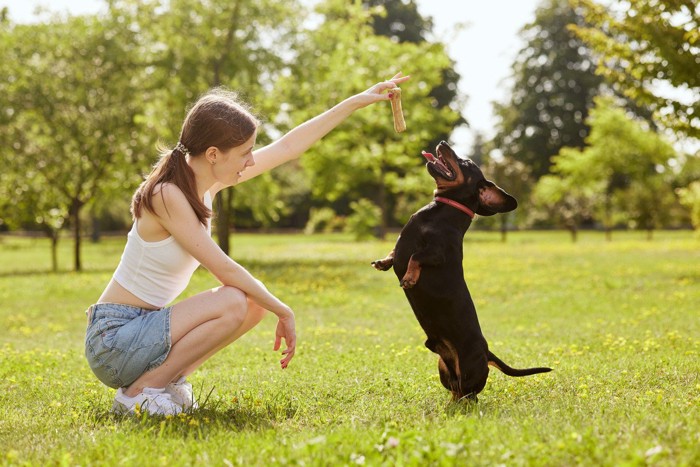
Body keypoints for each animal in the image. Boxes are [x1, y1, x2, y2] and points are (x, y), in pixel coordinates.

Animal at [372, 141, 552, 404]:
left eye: (465, 162)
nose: (443, 143)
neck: (441, 211)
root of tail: (487, 352)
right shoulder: (403, 248)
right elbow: (394, 253)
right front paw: (383, 263)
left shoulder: (437, 253)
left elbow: (415, 257)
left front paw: (409, 278)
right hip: (443, 368)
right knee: (456, 390)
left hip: (468, 369)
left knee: (469, 394)